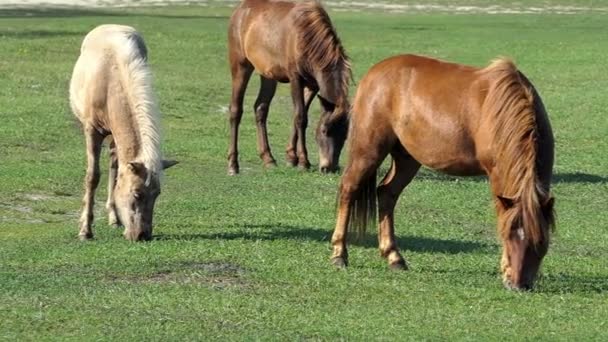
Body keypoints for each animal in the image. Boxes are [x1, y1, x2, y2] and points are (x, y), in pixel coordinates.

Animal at [227, 0, 352, 175]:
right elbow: (301, 117)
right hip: (240, 65)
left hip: (268, 75)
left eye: (345, 135)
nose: (329, 168)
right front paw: (303, 162)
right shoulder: (295, 78)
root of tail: (240, 10)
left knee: (260, 108)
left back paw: (268, 159)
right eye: (324, 130)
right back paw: (233, 165)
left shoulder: (312, 85)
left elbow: (297, 116)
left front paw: (291, 158)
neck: (307, 36)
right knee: (235, 110)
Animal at [332, 54, 556, 290]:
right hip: (368, 150)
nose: (519, 285)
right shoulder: (496, 175)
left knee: (386, 193)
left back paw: (394, 257)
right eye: (509, 236)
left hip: (406, 158)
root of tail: (374, 72)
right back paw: (339, 254)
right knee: (349, 189)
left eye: (541, 241)